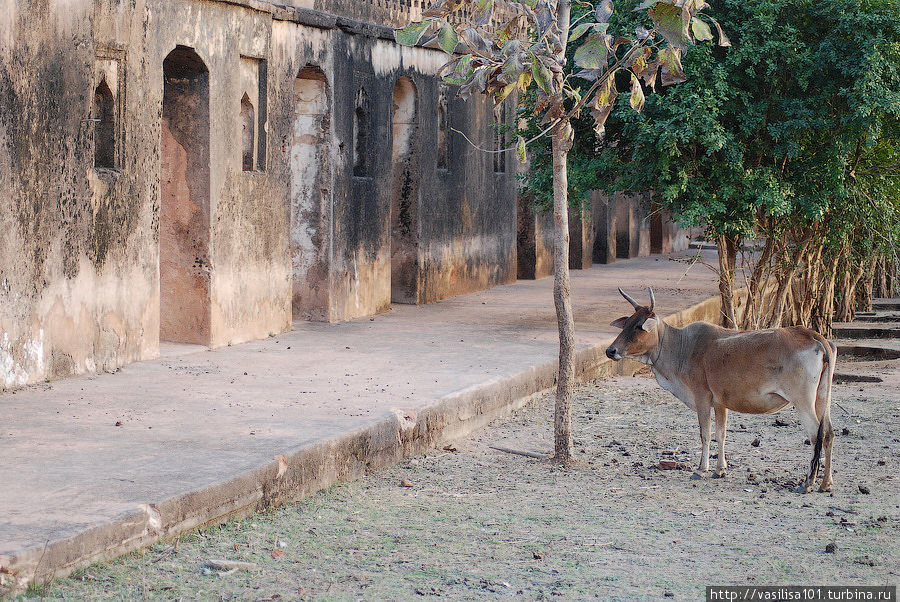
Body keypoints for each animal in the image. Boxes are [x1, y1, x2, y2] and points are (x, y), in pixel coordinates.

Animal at [604, 288, 836, 492]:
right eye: (627, 323)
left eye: (639, 326)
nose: (610, 351)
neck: (681, 347)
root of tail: (813, 336)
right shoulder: (720, 404)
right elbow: (721, 434)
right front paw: (720, 470)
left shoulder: (702, 398)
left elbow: (705, 434)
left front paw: (701, 469)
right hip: (822, 399)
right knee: (829, 433)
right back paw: (826, 483)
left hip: (803, 401)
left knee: (815, 435)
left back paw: (808, 482)